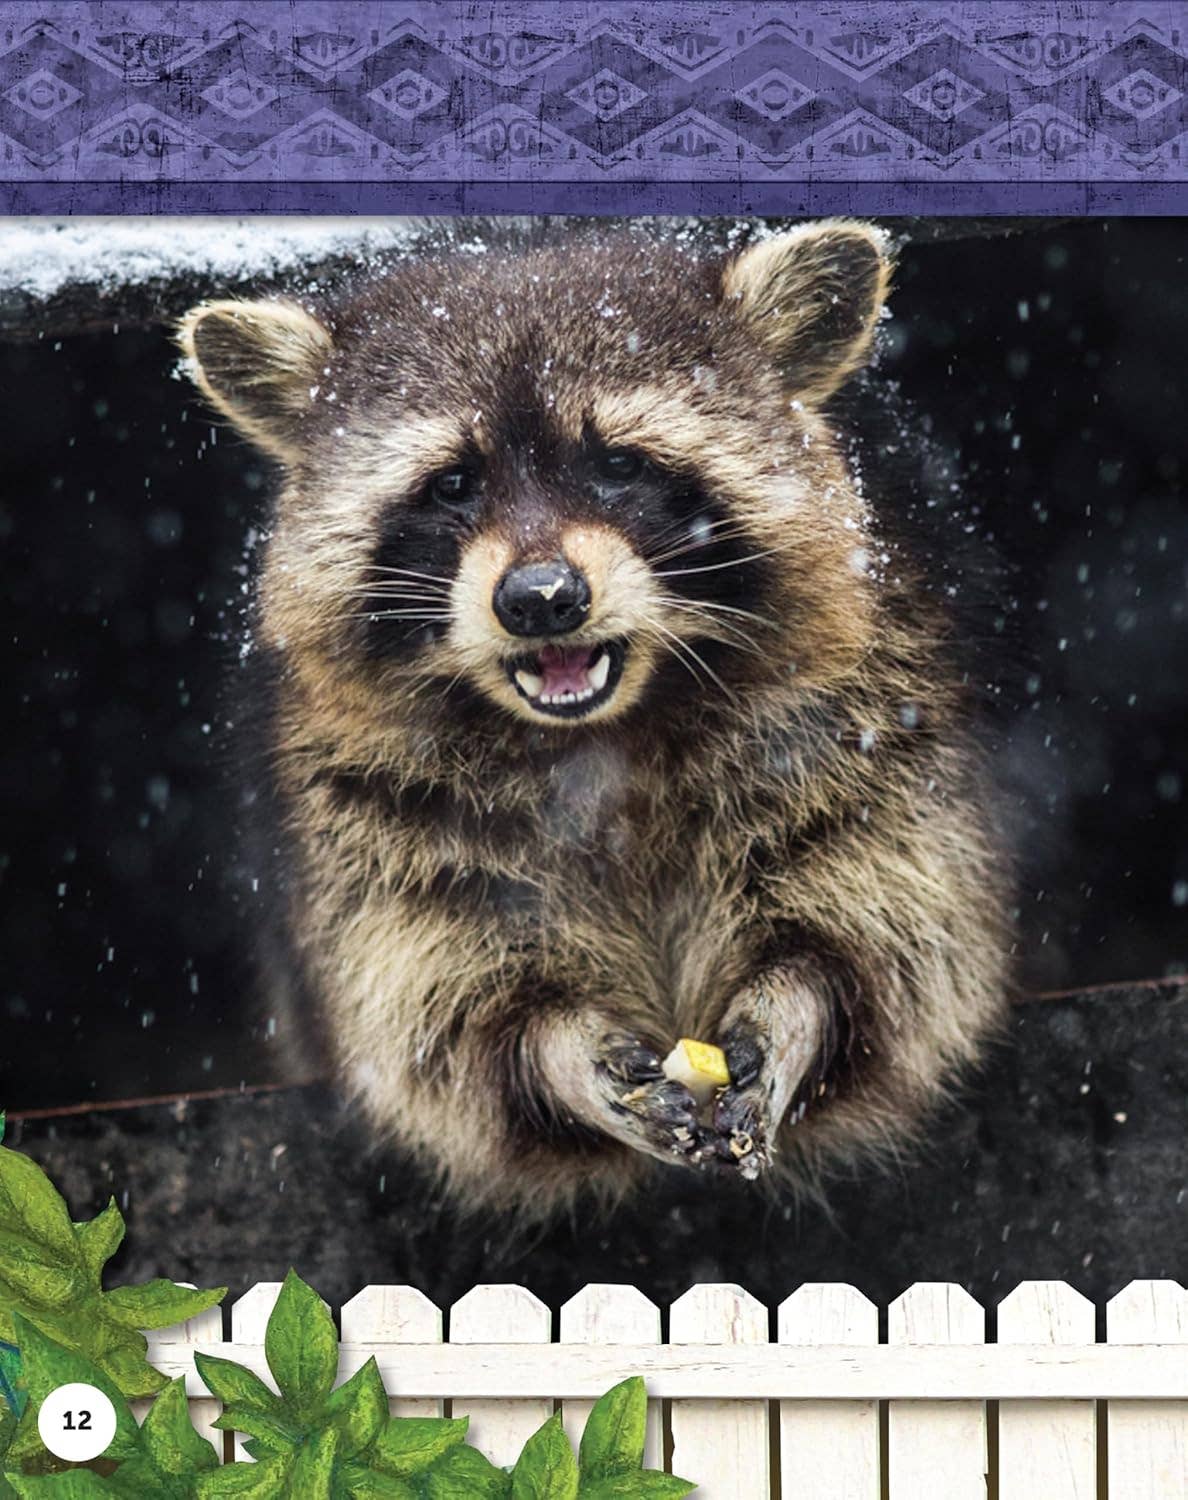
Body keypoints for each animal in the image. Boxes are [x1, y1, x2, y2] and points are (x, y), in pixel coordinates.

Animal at [179, 218, 1011, 1216]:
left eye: (618, 464)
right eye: (453, 484)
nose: (540, 599)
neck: (599, 735)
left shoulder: (871, 718)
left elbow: (894, 942)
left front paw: (795, 1006)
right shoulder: (357, 815)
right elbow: (434, 1025)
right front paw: (562, 1053)